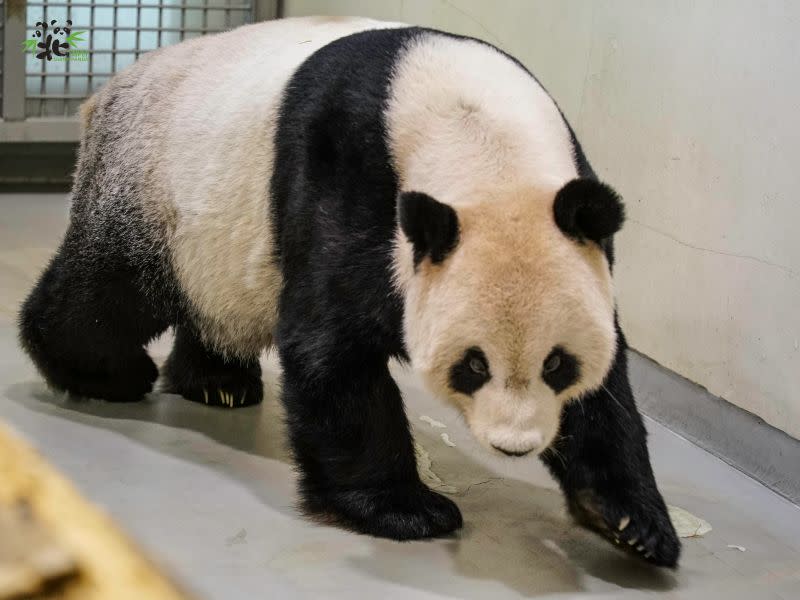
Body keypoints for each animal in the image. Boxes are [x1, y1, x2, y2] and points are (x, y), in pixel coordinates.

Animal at [18, 15, 680, 568]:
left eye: (557, 364)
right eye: (474, 365)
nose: (514, 446)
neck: (481, 139)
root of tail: (107, 89)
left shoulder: (578, 232)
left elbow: (610, 383)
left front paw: (631, 522)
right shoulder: (348, 176)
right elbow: (330, 348)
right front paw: (407, 510)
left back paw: (218, 383)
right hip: (152, 187)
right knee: (110, 292)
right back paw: (107, 374)